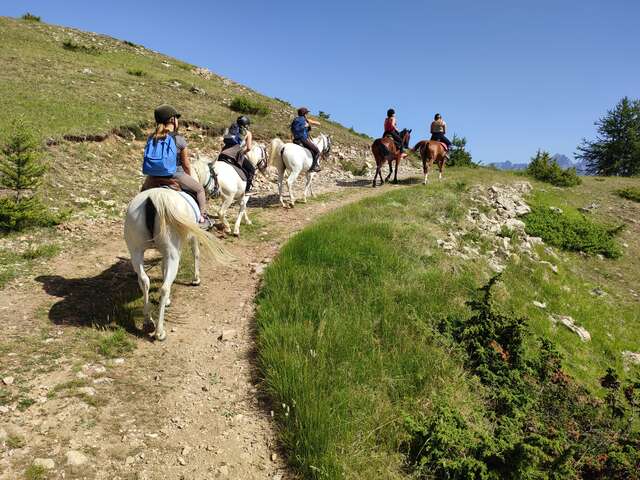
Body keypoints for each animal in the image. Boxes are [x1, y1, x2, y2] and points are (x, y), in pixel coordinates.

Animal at [124, 188, 229, 342]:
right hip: (173, 254)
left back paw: (148, 322)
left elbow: (162, 267)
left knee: (144, 281)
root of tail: (153, 197)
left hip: (136, 251)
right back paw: (159, 332)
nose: (217, 193)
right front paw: (196, 279)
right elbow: (196, 253)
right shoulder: (192, 236)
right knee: (164, 288)